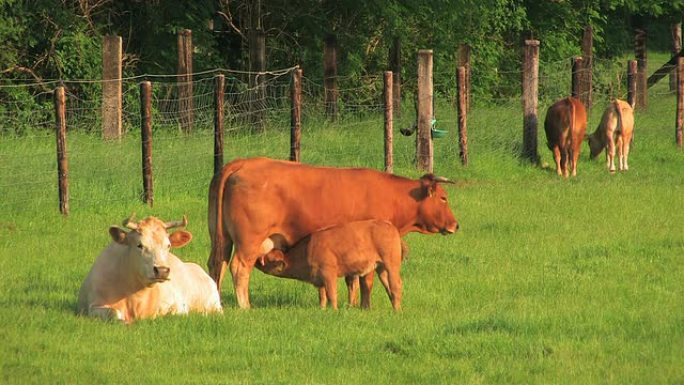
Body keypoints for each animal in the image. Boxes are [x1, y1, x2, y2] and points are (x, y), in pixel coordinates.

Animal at [78, 214, 222, 322]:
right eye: (139, 245)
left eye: (168, 245)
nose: (162, 270)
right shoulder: (92, 306)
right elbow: (114, 313)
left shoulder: (179, 306)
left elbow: (173, 314)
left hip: (215, 304)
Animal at [255, 219, 406, 308]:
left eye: (267, 258)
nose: (256, 260)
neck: (308, 249)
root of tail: (390, 226)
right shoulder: (318, 279)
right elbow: (322, 296)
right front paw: (322, 309)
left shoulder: (329, 274)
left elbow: (332, 294)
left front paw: (334, 310)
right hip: (381, 268)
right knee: (388, 286)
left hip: (391, 265)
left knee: (396, 285)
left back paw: (397, 310)